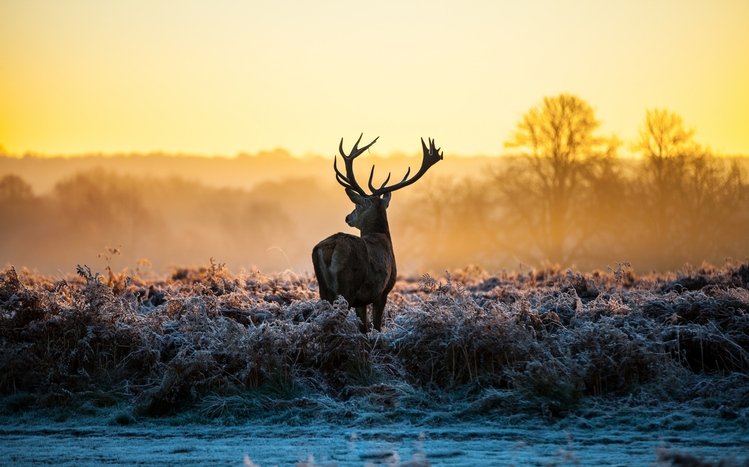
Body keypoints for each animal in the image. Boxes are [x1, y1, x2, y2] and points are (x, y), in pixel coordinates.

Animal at [312, 134, 443, 332]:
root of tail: (330, 247)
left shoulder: (362, 300)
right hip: (347, 287)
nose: (348, 217)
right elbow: (377, 327)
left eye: (357, 205)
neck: (382, 237)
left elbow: (364, 328)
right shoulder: (382, 291)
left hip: (324, 290)